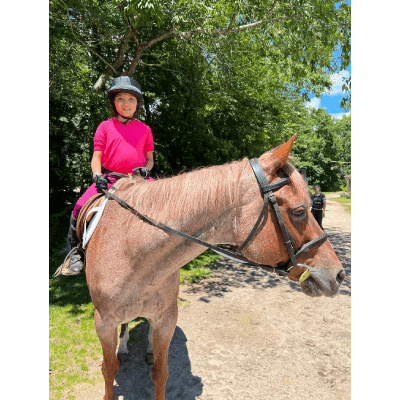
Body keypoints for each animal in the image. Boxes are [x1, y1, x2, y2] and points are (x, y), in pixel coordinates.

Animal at [84, 135, 344, 400]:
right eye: (299, 211)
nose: (339, 274)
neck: (130, 251)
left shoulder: (166, 319)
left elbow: (160, 372)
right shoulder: (103, 322)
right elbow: (109, 370)